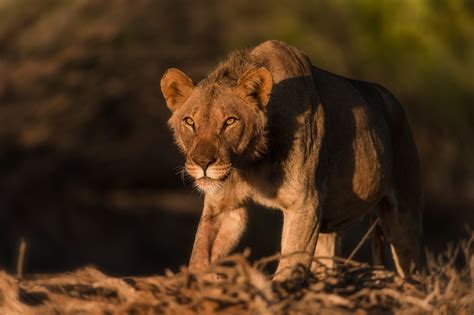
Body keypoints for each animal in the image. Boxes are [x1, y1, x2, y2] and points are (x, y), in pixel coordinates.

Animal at [161, 40, 424, 282]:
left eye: (230, 121)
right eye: (189, 122)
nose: (203, 163)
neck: (250, 162)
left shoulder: (305, 203)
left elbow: (289, 266)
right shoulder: (223, 208)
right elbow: (199, 254)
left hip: (403, 214)